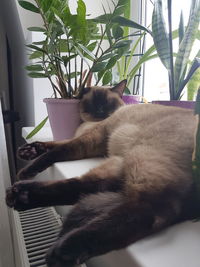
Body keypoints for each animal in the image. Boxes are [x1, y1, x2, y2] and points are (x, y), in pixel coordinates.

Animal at [5, 80, 198, 267]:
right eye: (94, 103)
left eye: (107, 103)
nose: (100, 111)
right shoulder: (93, 144)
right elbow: (55, 145)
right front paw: (28, 151)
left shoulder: (90, 139)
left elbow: (58, 150)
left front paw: (26, 170)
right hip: (119, 163)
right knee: (84, 187)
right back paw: (19, 196)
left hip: (142, 159)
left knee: (153, 209)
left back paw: (63, 251)